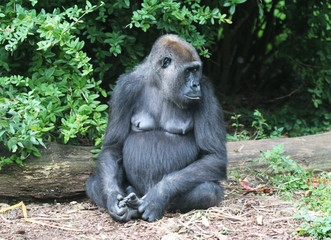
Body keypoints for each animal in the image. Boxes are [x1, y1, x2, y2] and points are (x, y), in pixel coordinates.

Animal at [85, 33, 228, 221]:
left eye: (196, 70)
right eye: (188, 71)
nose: (195, 85)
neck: (160, 84)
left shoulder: (206, 92)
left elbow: (214, 155)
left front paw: (158, 196)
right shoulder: (124, 88)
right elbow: (112, 147)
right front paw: (112, 198)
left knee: (209, 191)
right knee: (93, 183)